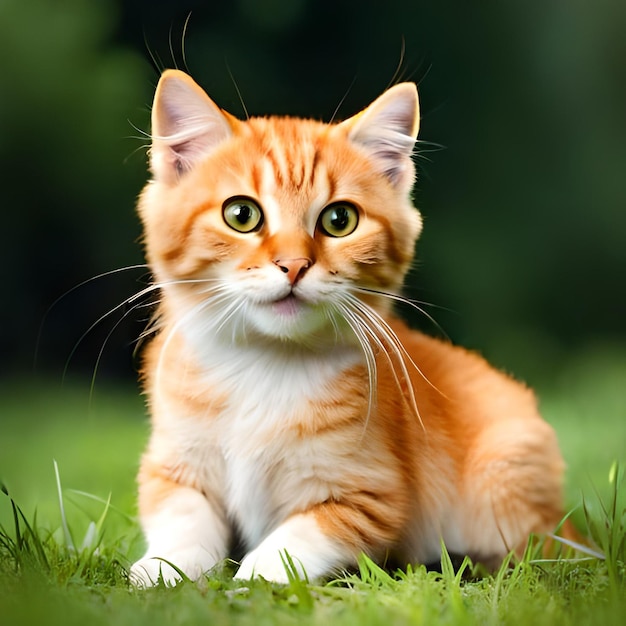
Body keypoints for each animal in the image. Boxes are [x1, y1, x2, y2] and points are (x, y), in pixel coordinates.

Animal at [130, 69, 572, 584]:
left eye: (339, 220)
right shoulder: (172, 462)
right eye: (241, 214)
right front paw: (162, 569)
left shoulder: (372, 497)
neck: (264, 362)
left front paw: (254, 577)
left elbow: (298, 538)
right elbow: (183, 515)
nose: (294, 265)